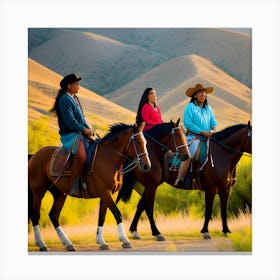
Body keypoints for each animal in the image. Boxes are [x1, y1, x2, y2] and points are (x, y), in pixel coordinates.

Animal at [28, 123, 151, 252]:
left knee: (53, 215)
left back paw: (68, 244)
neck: (108, 159)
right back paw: (42, 244)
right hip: (38, 193)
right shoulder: (105, 192)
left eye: (145, 142)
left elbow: (102, 216)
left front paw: (101, 242)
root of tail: (34, 156)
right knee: (35, 215)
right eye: (138, 142)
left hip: (60, 194)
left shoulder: (108, 194)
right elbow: (117, 213)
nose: (147, 165)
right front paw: (125, 240)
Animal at [116, 121, 252, 240]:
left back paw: (135, 231)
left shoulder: (226, 190)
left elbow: (224, 210)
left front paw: (226, 231)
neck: (222, 154)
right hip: (151, 186)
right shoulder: (211, 189)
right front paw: (205, 232)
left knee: (141, 205)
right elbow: (208, 210)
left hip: (151, 186)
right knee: (147, 206)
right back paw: (155, 233)